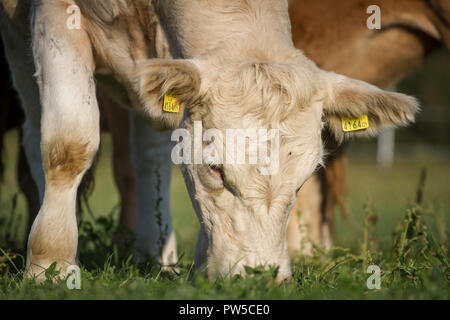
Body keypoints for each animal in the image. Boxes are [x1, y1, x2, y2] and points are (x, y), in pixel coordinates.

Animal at [1, 0, 420, 280]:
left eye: (302, 181)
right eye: (216, 170)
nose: (262, 277)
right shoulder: (54, 15)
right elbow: (68, 145)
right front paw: (50, 266)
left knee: (147, 153)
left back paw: (154, 255)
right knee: (37, 135)